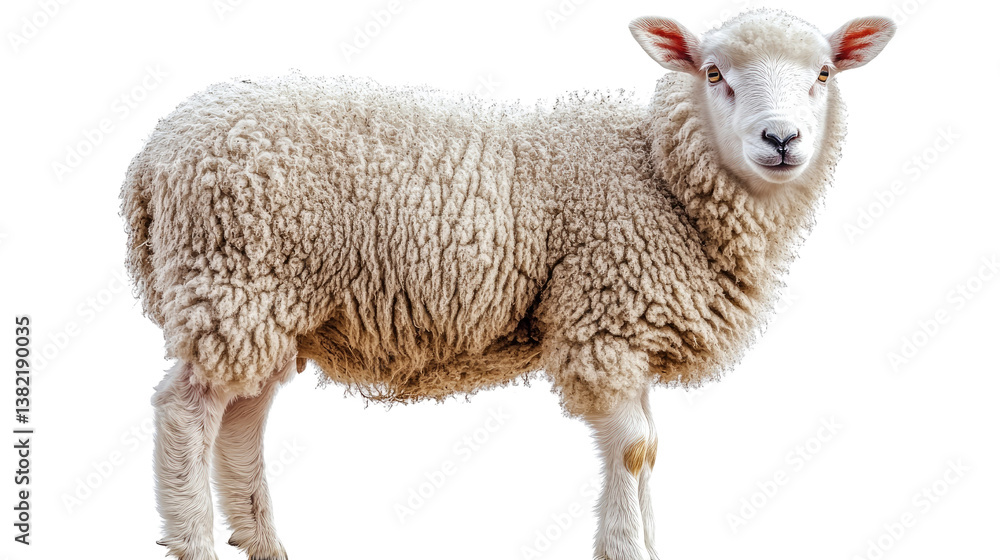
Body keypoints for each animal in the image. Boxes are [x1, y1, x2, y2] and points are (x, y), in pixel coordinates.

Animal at [121, 8, 895, 560]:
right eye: (712, 73)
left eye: (824, 73)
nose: (781, 139)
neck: (657, 175)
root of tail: (153, 156)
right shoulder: (600, 321)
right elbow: (634, 449)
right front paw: (625, 548)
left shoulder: (631, 334)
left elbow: (648, 452)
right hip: (235, 280)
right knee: (184, 414)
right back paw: (194, 543)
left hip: (270, 309)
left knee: (240, 420)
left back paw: (264, 543)